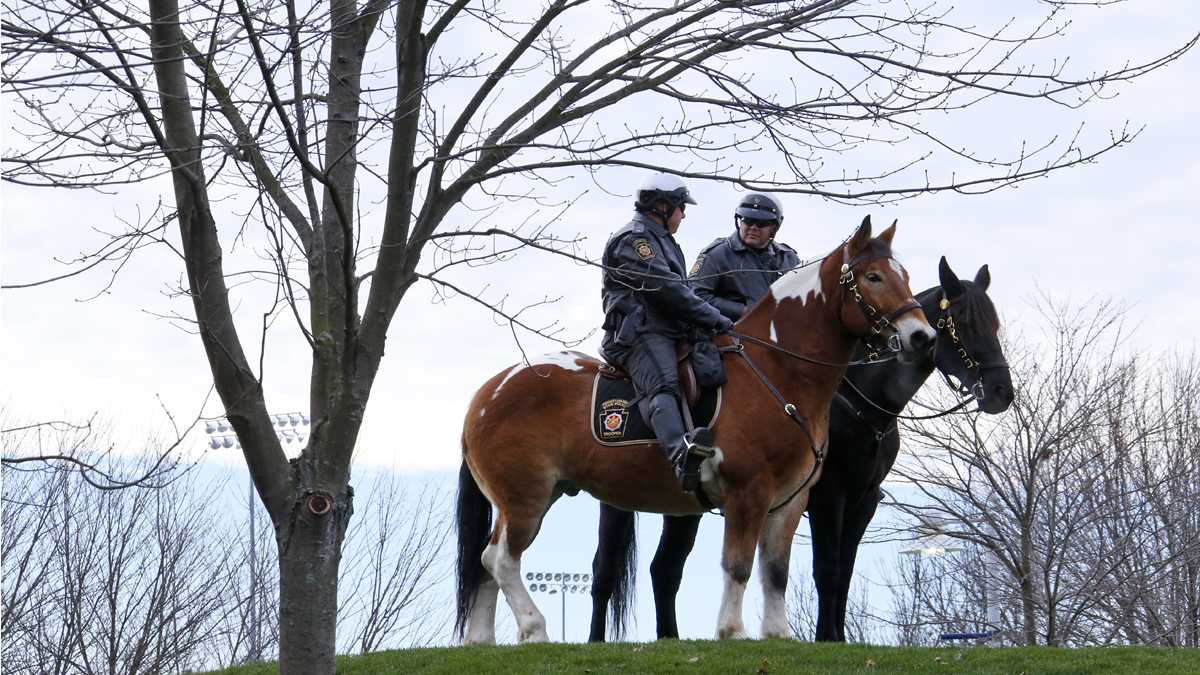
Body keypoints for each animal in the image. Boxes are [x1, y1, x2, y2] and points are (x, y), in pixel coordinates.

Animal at [453, 214, 931, 638]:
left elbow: (775, 572)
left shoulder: (790, 502)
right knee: (501, 560)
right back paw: (534, 629)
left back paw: (481, 640)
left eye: (905, 275)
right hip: (525, 498)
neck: (778, 370)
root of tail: (488, 393)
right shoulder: (749, 494)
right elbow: (738, 567)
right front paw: (732, 631)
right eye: (873, 277)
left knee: (486, 563)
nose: (921, 336)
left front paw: (777, 634)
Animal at [588, 254, 1012, 638]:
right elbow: (826, 570)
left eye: (994, 322)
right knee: (606, 571)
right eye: (965, 323)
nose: (1001, 393)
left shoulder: (863, 501)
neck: (857, 403)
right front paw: (827, 637)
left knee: (665, 568)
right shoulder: (828, 496)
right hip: (621, 500)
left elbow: (844, 571)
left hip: (684, 506)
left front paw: (838, 638)